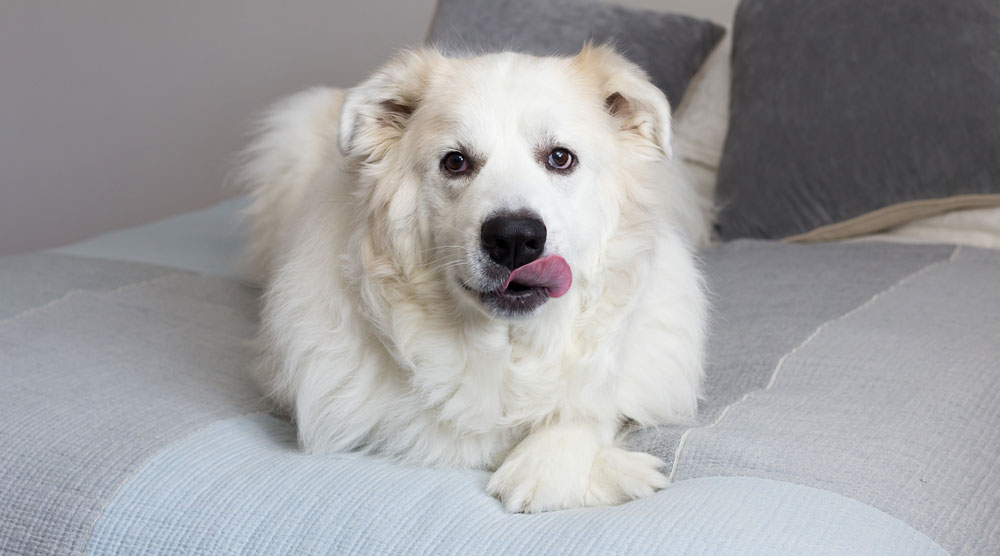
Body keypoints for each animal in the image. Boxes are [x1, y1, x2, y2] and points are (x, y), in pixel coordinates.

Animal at [239, 44, 712, 512]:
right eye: (455, 162)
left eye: (560, 158)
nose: (515, 238)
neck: (508, 344)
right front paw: (614, 473)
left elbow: (590, 401)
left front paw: (550, 466)